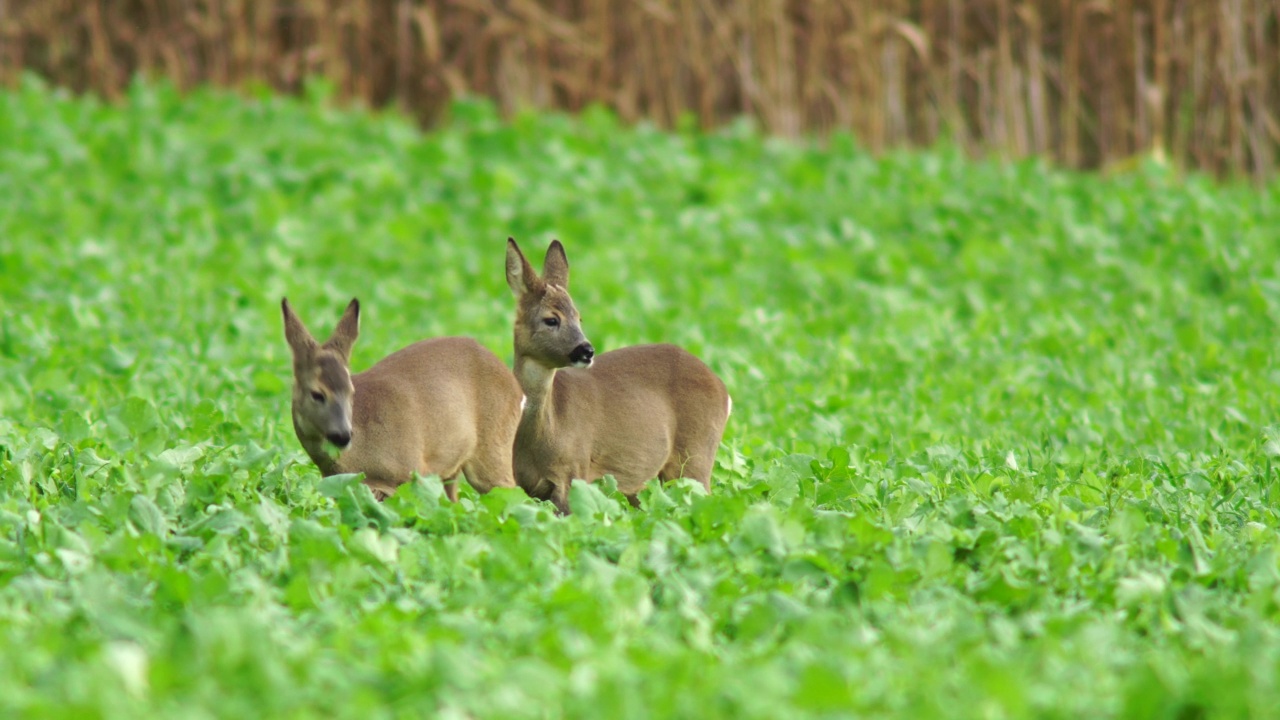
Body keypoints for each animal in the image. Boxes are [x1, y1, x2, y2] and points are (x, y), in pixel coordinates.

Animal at [282, 295, 522, 499]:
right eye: (317, 394)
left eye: (351, 391)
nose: (342, 435)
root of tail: (517, 387)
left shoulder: (413, 473)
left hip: (492, 451)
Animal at [504, 235, 737, 509]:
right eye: (551, 319)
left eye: (579, 318)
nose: (587, 350)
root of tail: (723, 389)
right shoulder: (523, 486)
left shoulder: (572, 472)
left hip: (695, 457)